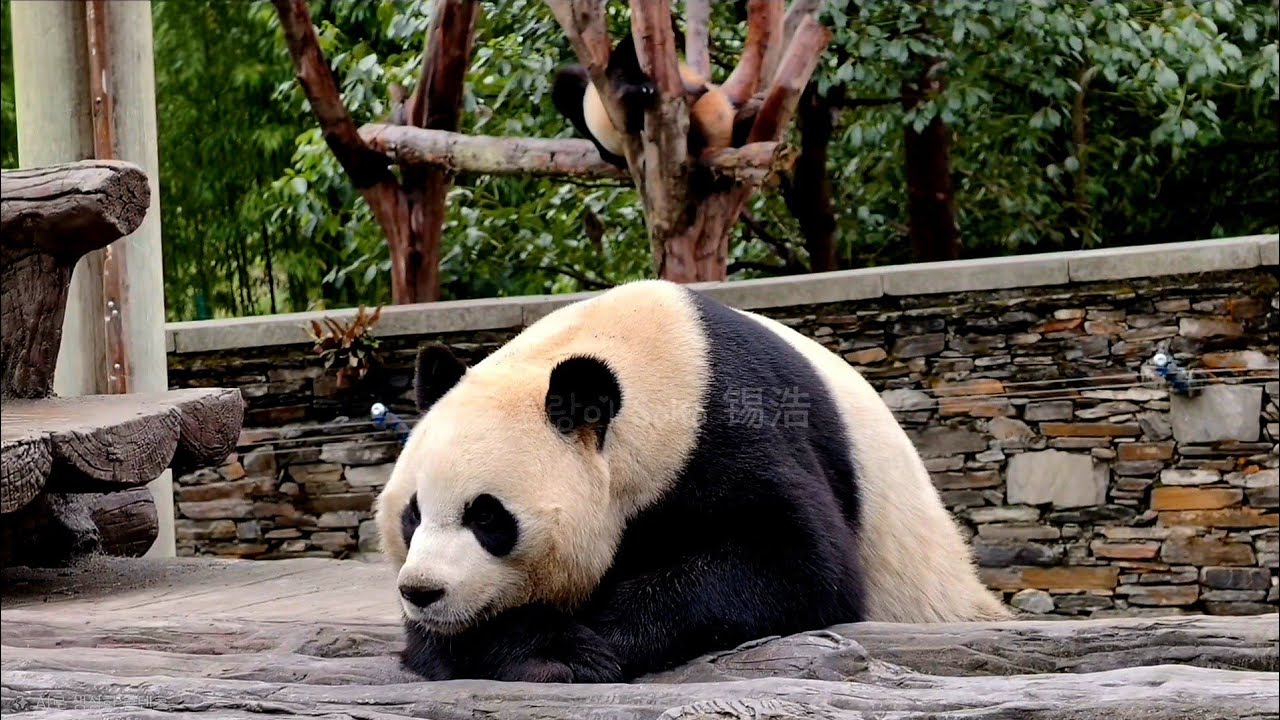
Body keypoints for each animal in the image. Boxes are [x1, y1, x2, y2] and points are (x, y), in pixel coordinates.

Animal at [374, 279, 1009, 684]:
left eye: (487, 516)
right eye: (412, 515)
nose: (422, 591)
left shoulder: (732, 431)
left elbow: (800, 566)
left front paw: (565, 650)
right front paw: (512, 644)